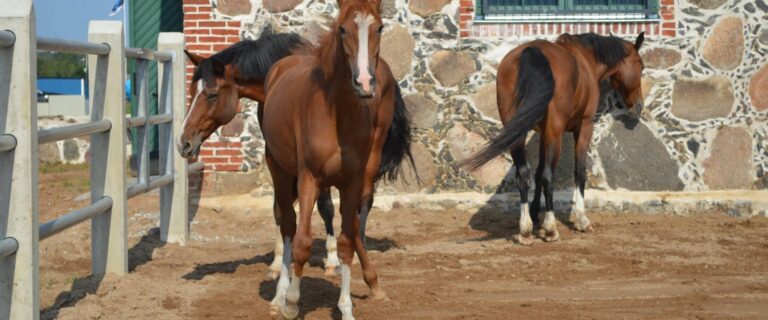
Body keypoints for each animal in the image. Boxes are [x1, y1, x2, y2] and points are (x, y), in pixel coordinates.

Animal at [179, 30, 414, 282]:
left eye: (212, 95)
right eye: (192, 92)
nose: (183, 143)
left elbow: (325, 206)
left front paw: (332, 259)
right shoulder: (279, 154)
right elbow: (280, 209)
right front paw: (277, 262)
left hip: (372, 151)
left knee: (364, 201)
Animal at [260, 0, 400, 318]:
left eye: (380, 27)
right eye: (343, 29)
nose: (364, 83)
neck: (338, 115)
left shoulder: (351, 182)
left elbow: (347, 241)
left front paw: (346, 308)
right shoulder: (309, 179)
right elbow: (302, 242)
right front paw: (291, 303)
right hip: (280, 170)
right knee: (288, 226)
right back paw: (279, 295)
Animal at [464, 31, 644, 245]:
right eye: (641, 66)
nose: (639, 105)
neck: (585, 59)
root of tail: (531, 51)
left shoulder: (543, 134)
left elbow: (537, 173)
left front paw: (535, 215)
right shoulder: (584, 127)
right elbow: (578, 172)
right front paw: (581, 220)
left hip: (520, 132)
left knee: (524, 173)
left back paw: (525, 229)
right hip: (555, 133)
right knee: (549, 176)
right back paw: (551, 229)